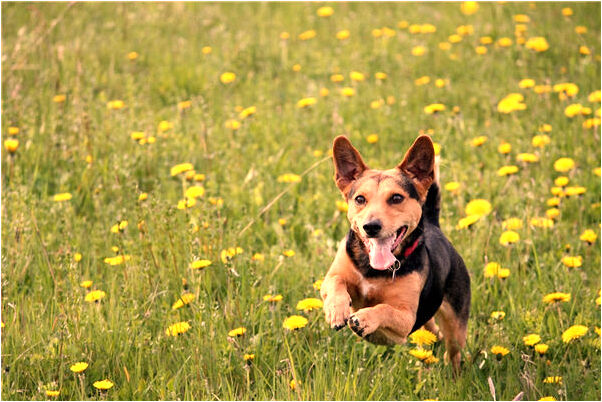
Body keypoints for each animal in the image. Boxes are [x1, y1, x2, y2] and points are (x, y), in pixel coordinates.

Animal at [318, 136, 468, 374]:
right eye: (360, 199)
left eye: (396, 197)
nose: (371, 226)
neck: (373, 270)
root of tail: (434, 226)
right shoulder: (332, 277)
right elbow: (336, 283)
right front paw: (336, 310)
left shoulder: (406, 320)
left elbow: (384, 308)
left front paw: (365, 318)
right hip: (429, 318)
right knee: (434, 331)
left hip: (456, 326)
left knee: (453, 351)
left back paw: (454, 375)